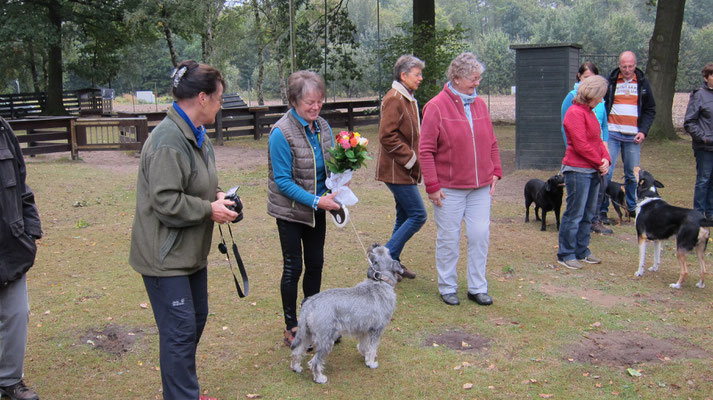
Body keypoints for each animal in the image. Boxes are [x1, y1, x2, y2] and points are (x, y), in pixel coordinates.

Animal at [288, 244, 400, 384]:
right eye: (386, 251)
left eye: (378, 251)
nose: (375, 244)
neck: (379, 282)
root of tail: (309, 303)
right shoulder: (376, 330)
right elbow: (372, 347)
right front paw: (371, 362)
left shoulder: (364, 330)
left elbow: (364, 346)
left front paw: (365, 356)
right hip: (326, 339)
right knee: (315, 361)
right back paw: (319, 378)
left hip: (306, 334)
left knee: (297, 351)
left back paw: (296, 367)